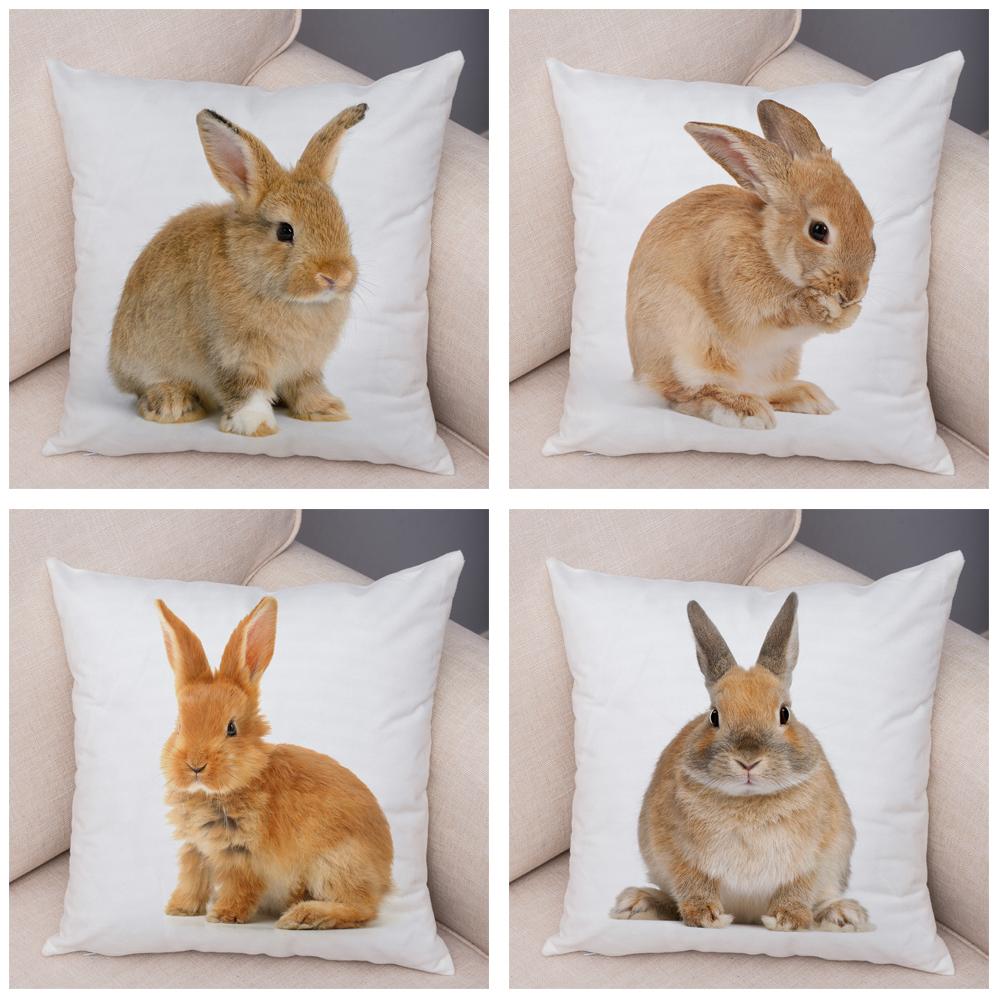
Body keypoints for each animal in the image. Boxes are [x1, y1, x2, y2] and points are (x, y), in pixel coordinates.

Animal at [109, 103, 367, 436]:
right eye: (285, 231)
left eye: (340, 220)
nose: (336, 276)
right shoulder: (233, 355)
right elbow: (247, 390)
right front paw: (257, 426)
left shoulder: (305, 366)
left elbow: (306, 386)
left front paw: (326, 410)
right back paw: (174, 405)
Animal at [157, 596, 393, 929]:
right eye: (178, 726)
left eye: (231, 728)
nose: (195, 765)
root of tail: (385, 877)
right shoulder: (195, 849)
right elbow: (193, 880)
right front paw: (180, 909)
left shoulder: (244, 855)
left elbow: (240, 886)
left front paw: (224, 915)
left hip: (336, 864)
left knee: (362, 908)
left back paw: (303, 916)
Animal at [611, 593, 870, 933]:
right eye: (714, 716)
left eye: (784, 713)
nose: (748, 761)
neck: (749, 801)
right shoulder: (675, 852)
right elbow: (692, 884)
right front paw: (706, 917)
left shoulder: (815, 857)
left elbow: (798, 888)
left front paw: (787, 920)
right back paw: (637, 903)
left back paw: (844, 915)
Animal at [626, 100, 876, 430]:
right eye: (818, 230)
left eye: (870, 224)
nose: (853, 292)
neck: (770, 250)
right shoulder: (741, 294)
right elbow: (779, 311)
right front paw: (822, 307)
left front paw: (848, 314)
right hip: (685, 347)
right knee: (684, 395)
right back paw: (744, 410)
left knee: (766, 388)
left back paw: (807, 397)